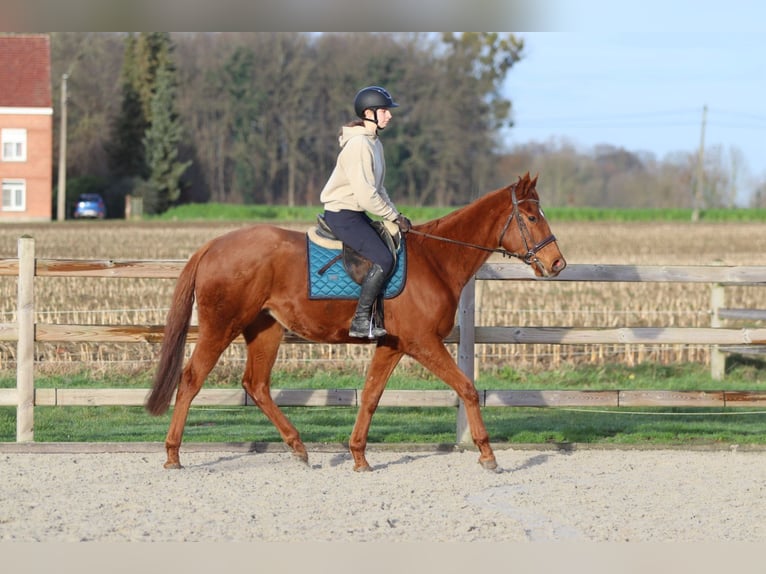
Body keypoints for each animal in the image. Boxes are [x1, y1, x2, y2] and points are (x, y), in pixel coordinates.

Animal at [146, 173, 566, 471]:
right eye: (531, 217)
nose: (557, 264)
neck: (436, 259)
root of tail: (212, 245)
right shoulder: (423, 343)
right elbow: (466, 387)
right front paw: (487, 453)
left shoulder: (392, 345)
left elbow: (371, 396)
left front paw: (359, 455)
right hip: (221, 326)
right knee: (191, 379)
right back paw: (173, 454)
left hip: (265, 328)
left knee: (257, 385)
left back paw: (298, 447)